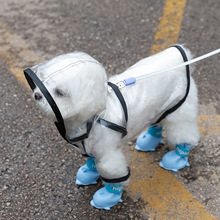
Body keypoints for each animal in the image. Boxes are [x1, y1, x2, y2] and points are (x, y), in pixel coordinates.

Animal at [24, 45, 199, 210]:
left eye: (60, 92)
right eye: (44, 82)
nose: (37, 95)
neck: (91, 119)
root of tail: (181, 54)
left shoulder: (108, 154)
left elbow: (112, 173)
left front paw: (108, 196)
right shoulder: (90, 148)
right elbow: (92, 162)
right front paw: (89, 173)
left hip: (180, 109)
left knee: (184, 133)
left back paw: (177, 158)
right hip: (159, 108)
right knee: (158, 121)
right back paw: (149, 140)